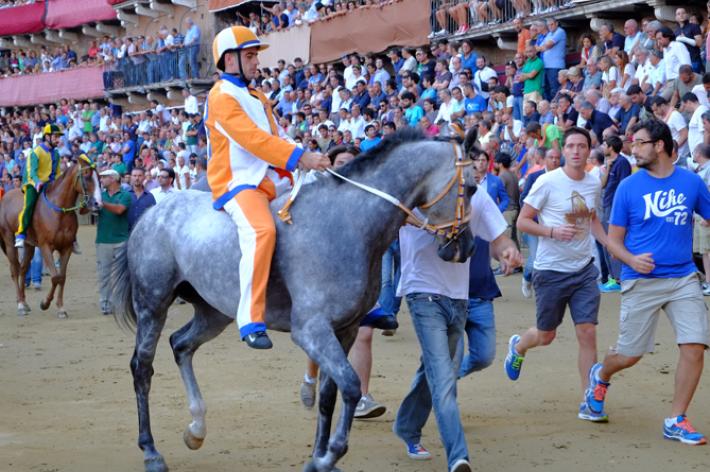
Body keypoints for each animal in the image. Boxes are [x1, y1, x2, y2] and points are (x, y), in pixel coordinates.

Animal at [0, 158, 101, 318]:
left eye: (99, 177)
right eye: (86, 176)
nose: (97, 203)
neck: (59, 211)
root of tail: (5, 197)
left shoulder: (66, 248)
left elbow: (62, 277)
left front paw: (61, 308)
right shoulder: (45, 246)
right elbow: (55, 277)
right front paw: (45, 303)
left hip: (29, 246)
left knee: (23, 269)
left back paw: (25, 303)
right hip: (9, 242)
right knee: (15, 270)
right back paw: (20, 305)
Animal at [114, 129, 476, 472]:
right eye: (472, 187)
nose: (466, 248)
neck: (348, 222)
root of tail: (152, 213)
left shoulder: (344, 329)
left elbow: (330, 395)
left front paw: (318, 456)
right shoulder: (311, 330)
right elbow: (350, 386)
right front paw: (329, 456)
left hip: (214, 313)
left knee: (181, 344)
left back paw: (196, 429)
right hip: (153, 305)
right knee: (142, 367)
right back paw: (151, 451)